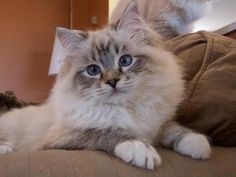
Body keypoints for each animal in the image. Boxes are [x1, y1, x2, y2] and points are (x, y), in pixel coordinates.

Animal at [0, 1, 210, 170]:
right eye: (93, 70)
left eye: (125, 61)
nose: (112, 81)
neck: (126, 108)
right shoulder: (66, 137)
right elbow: (108, 132)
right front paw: (140, 149)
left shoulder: (154, 125)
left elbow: (172, 129)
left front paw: (197, 143)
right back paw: (6, 149)